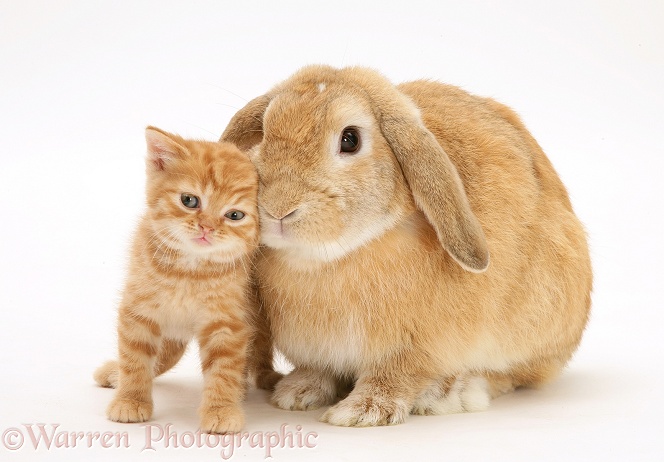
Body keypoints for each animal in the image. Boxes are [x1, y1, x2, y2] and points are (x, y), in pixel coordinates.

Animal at [94, 125, 260, 434]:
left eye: (234, 215)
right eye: (189, 200)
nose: (207, 227)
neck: (189, 271)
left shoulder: (228, 321)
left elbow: (224, 368)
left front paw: (221, 409)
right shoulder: (138, 309)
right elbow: (135, 358)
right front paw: (130, 399)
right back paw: (115, 373)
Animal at [223, 64, 592, 426]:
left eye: (350, 139)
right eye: (265, 131)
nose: (277, 208)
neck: (327, 258)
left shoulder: (416, 351)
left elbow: (394, 377)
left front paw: (363, 411)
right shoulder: (318, 351)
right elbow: (319, 370)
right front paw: (298, 393)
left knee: (514, 374)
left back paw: (451, 394)